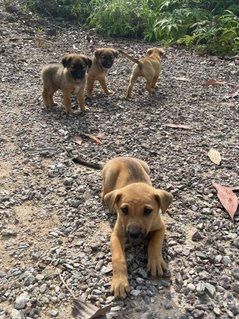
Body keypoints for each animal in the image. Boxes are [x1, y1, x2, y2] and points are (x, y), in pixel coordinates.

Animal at [72, 156, 173, 298]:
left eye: (148, 211)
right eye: (124, 209)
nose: (133, 234)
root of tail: (119, 157)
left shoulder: (160, 227)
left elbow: (155, 244)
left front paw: (155, 262)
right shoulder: (116, 235)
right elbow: (118, 258)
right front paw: (120, 282)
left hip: (145, 166)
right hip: (110, 176)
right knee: (104, 192)